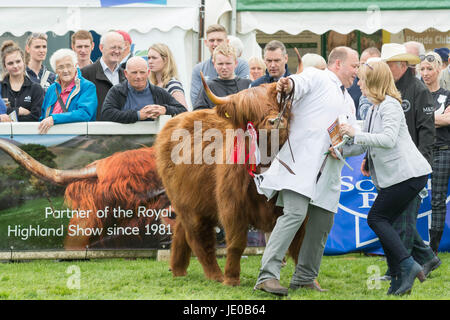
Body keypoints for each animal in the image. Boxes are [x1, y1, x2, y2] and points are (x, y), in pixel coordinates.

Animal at [154, 80, 306, 284]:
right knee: (198, 238)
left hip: (193, 202)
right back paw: (215, 275)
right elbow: (236, 243)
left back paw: (178, 269)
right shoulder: (232, 206)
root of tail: (175, 120)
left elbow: (297, 242)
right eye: (250, 113)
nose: (276, 121)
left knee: (180, 230)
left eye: (278, 103)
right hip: (189, 207)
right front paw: (231, 279)